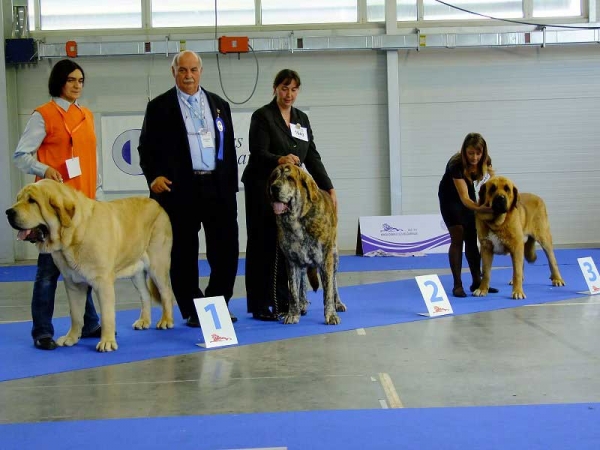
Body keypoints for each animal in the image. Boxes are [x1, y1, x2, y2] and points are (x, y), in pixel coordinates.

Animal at [5, 179, 175, 352]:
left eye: (32, 201)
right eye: (18, 199)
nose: (8, 212)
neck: (75, 233)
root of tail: (158, 205)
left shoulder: (103, 283)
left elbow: (107, 315)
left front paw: (107, 342)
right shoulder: (72, 283)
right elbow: (75, 314)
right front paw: (71, 338)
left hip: (158, 265)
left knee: (166, 293)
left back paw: (166, 320)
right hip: (136, 271)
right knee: (145, 294)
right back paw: (144, 321)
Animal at [268, 163, 346, 326]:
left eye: (290, 178)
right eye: (273, 177)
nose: (274, 187)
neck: (297, 219)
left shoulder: (325, 259)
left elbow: (328, 291)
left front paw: (331, 315)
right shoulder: (291, 260)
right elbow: (293, 291)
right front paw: (293, 314)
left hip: (334, 256)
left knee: (334, 282)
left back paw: (338, 303)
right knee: (302, 282)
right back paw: (302, 304)